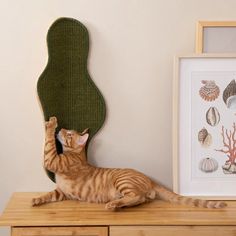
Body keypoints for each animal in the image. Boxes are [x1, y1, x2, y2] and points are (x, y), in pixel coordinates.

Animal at [31, 117, 227, 209]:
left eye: (69, 134)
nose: (62, 129)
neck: (76, 155)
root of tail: (149, 178)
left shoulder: (51, 159)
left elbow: (48, 143)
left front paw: (51, 124)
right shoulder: (61, 192)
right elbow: (48, 195)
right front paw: (36, 199)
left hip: (123, 181)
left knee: (137, 196)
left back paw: (113, 205)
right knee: (143, 199)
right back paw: (118, 203)